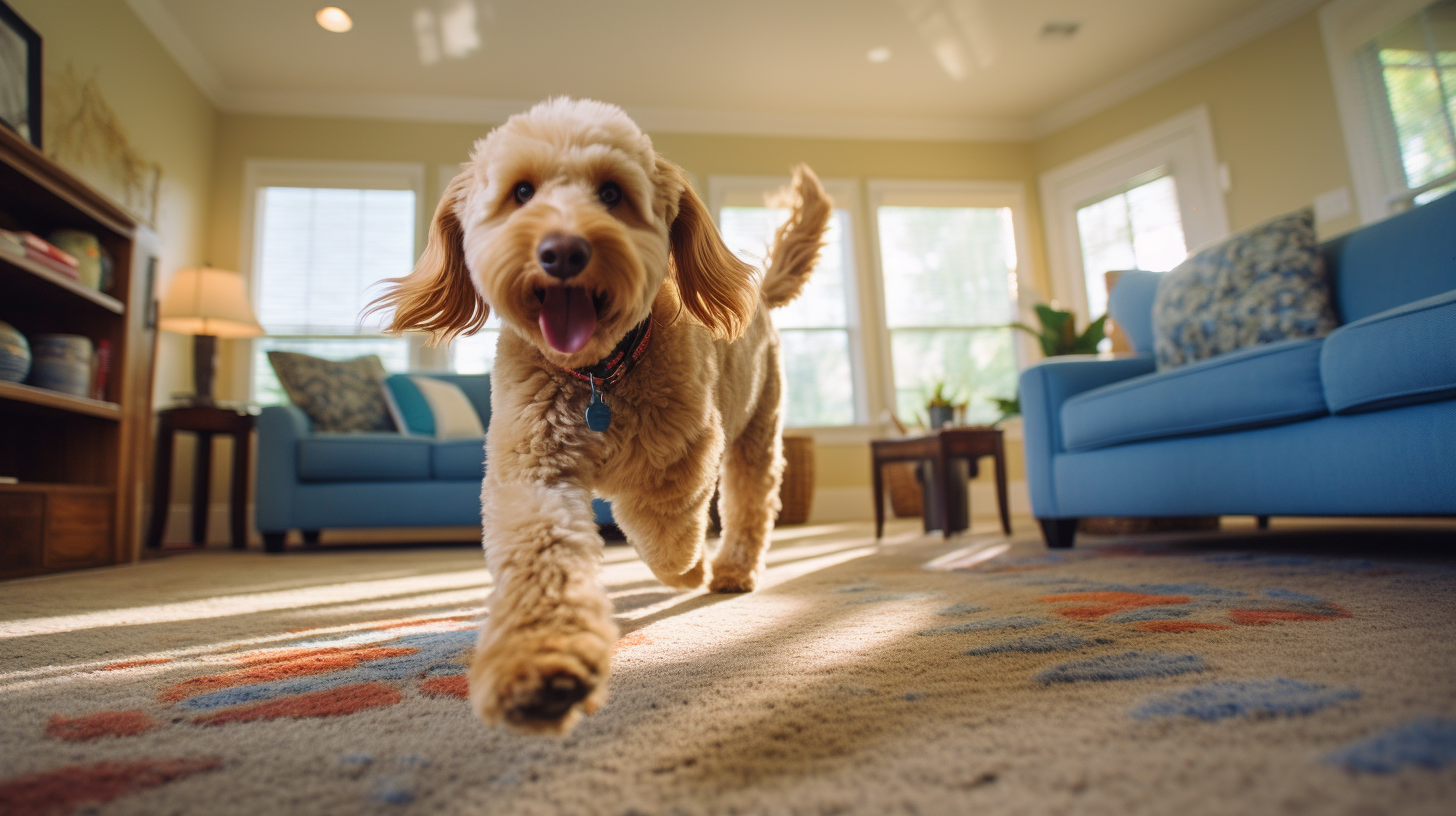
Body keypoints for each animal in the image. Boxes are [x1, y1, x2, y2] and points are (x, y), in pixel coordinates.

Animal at [375, 95, 832, 734]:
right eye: (522, 192)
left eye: (612, 193)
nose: (563, 251)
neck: (597, 374)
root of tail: (758, 296)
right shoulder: (534, 472)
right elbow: (544, 554)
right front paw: (541, 667)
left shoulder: (683, 459)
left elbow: (666, 534)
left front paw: (689, 571)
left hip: (755, 430)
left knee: (750, 504)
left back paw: (730, 570)